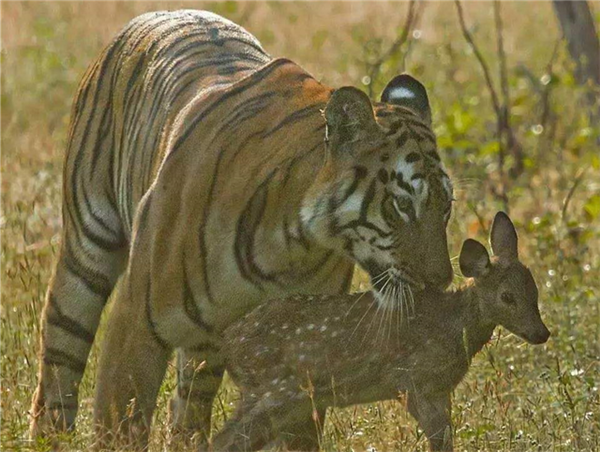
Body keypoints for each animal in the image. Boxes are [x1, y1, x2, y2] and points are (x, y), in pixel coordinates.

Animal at [29, 8, 450, 450]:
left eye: (447, 207)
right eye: (402, 205)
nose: (440, 282)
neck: (293, 244)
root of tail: (159, 13)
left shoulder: (305, 346)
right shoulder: (135, 320)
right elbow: (121, 423)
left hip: (207, 342)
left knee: (189, 408)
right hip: (85, 255)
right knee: (58, 365)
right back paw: (48, 437)